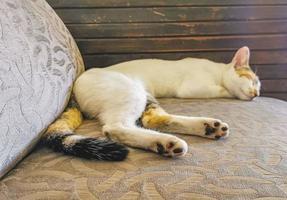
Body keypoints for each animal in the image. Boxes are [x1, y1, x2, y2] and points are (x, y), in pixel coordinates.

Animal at [43, 46, 260, 161]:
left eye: (258, 86)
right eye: (253, 81)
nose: (256, 94)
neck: (217, 71)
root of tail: (73, 89)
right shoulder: (192, 87)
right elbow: (223, 90)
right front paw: (230, 91)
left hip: (146, 96)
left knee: (153, 120)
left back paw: (207, 127)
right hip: (132, 92)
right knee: (116, 127)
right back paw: (166, 143)